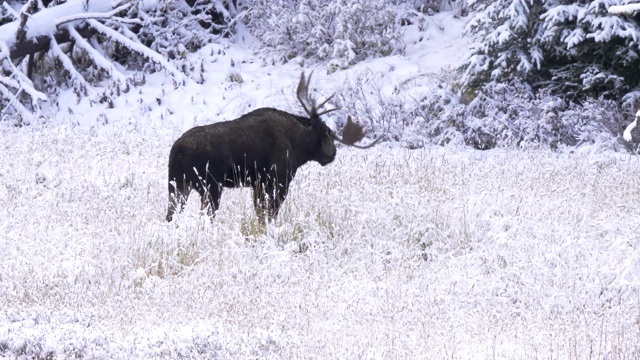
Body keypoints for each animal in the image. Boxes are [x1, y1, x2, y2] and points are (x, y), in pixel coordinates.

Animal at [165, 72, 380, 224]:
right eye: (327, 134)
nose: (333, 153)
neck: (299, 147)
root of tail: (177, 151)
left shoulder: (258, 183)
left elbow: (260, 213)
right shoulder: (278, 179)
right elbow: (270, 213)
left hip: (177, 184)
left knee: (170, 216)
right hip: (210, 185)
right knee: (205, 216)